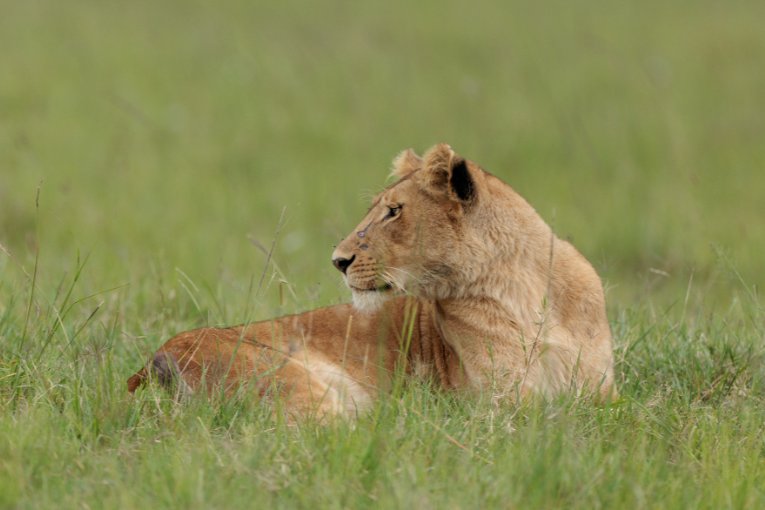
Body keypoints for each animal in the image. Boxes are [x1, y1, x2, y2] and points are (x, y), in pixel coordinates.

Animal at [127, 144, 616, 418]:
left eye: (393, 211)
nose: (338, 261)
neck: (524, 291)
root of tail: (148, 368)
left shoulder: (602, 391)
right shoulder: (498, 399)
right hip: (305, 386)